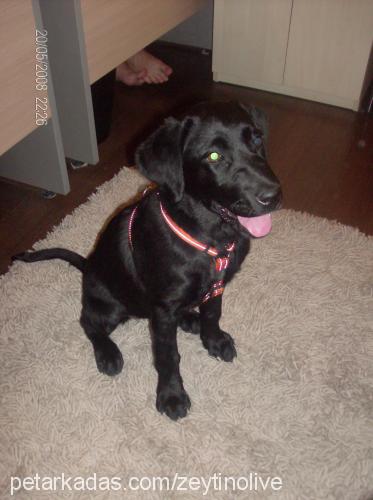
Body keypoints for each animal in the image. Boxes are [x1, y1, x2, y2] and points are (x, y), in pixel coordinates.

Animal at [13, 102, 282, 422]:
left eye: (256, 139)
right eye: (214, 156)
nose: (274, 195)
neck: (209, 235)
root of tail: (87, 265)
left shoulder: (217, 286)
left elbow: (213, 313)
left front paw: (213, 340)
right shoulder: (164, 309)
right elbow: (168, 356)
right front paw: (172, 396)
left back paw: (190, 319)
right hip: (109, 305)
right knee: (88, 322)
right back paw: (108, 353)